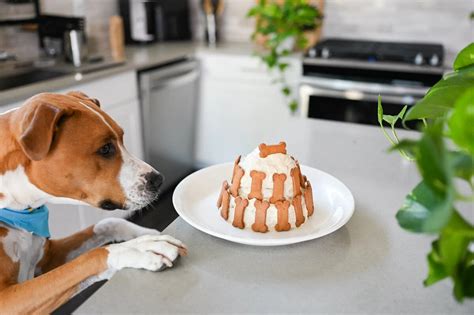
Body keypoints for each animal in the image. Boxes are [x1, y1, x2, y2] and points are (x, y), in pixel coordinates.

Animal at [0, 91, 188, 314]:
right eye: (105, 149)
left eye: (122, 138)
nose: (159, 180)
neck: (20, 210)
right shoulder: (8, 299)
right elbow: (89, 258)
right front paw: (139, 249)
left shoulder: (48, 257)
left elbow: (107, 222)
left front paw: (147, 236)